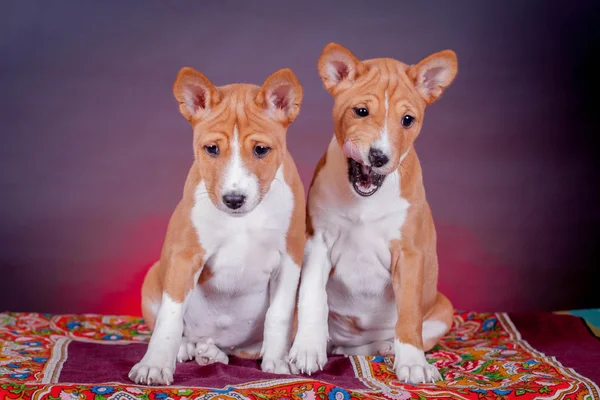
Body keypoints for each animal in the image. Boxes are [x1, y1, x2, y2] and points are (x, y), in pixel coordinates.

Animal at [126, 67, 304, 386]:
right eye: (211, 149)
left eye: (261, 150)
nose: (233, 199)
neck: (243, 220)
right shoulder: (186, 257)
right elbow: (170, 317)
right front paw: (154, 365)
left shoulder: (290, 259)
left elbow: (278, 314)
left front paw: (278, 363)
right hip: (154, 277)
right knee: (178, 326)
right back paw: (189, 348)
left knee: (236, 350)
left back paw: (216, 353)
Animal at [288, 43, 458, 384]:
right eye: (361, 112)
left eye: (408, 119)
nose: (379, 157)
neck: (363, 201)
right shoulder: (318, 243)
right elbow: (312, 297)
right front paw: (308, 348)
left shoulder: (409, 253)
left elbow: (408, 315)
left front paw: (413, 363)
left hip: (443, 309)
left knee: (385, 340)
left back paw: (388, 348)